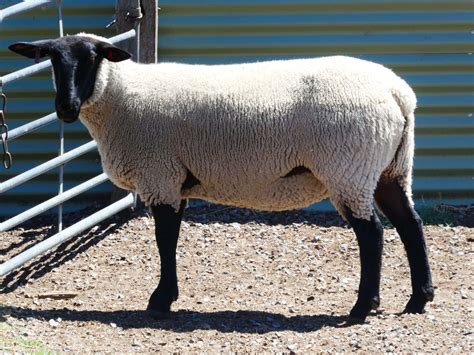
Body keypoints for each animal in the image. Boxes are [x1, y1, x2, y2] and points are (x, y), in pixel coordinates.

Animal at [10, 33, 434, 322]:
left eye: (92, 57)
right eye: (52, 59)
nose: (65, 107)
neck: (119, 97)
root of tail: (399, 93)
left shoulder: (160, 175)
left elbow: (165, 240)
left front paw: (160, 301)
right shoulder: (175, 179)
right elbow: (169, 239)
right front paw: (166, 297)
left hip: (348, 168)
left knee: (372, 233)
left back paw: (363, 307)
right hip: (390, 168)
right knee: (410, 224)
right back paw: (419, 299)